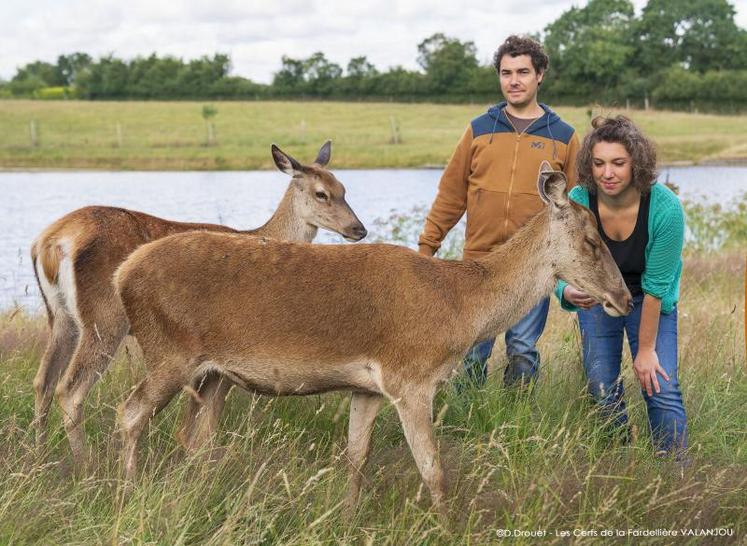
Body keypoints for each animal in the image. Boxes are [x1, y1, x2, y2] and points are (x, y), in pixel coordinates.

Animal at [32, 139, 366, 464]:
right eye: (321, 193)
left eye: (343, 188)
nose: (358, 229)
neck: (263, 234)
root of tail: (49, 242)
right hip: (104, 319)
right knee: (70, 389)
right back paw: (84, 465)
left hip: (61, 318)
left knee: (43, 381)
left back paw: (39, 454)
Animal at [114, 160, 636, 516]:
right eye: (592, 240)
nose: (625, 299)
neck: (460, 308)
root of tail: (124, 273)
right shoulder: (412, 378)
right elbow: (433, 470)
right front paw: (446, 525)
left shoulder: (366, 387)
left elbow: (356, 457)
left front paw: (347, 516)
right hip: (169, 352)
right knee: (130, 412)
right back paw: (127, 490)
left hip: (212, 374)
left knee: (193, 437)